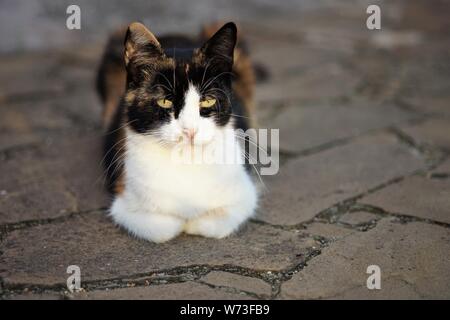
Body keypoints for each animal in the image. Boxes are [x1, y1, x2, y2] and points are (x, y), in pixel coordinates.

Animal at [96, 21, 258, 242]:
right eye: (165, 101)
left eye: (208, 101)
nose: (190, 130)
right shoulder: (123, 204)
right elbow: (164, 228)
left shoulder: (246, 195)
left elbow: (212, 223)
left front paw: (192, 222)